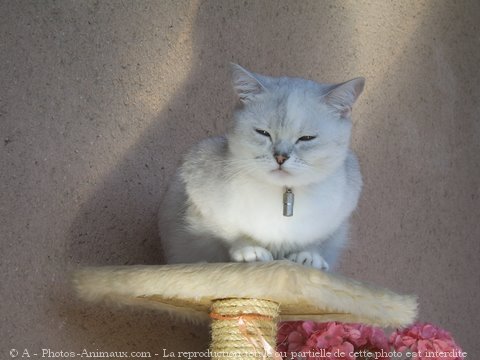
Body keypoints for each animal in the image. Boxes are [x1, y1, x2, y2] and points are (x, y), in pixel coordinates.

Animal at [158, 64, 364, 270]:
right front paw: (250, 253)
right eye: (263, 133)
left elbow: (316, 243)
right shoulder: (202, 200)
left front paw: (308, 258)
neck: (283, 195)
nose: (280, 157)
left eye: (306, 138)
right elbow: (232, 236)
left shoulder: (334, 224)